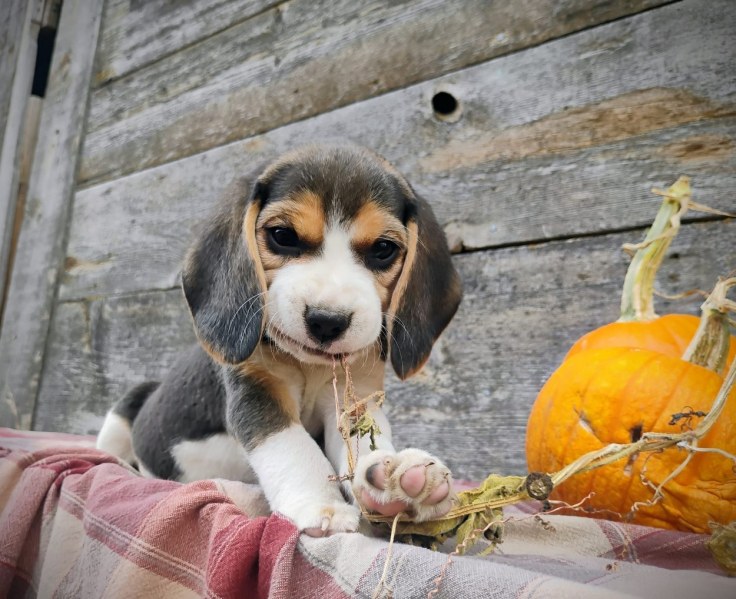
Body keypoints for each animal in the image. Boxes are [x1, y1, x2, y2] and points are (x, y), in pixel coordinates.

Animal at [97, 144, 462, 536]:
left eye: (383, 249)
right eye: (283, 235)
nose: (327, 321)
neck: (308, 366)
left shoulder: (355, 398)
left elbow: (361, 440)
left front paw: (394, 478)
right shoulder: (257, 389)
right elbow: (293, 446)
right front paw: (322, 504)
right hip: (126, 408)